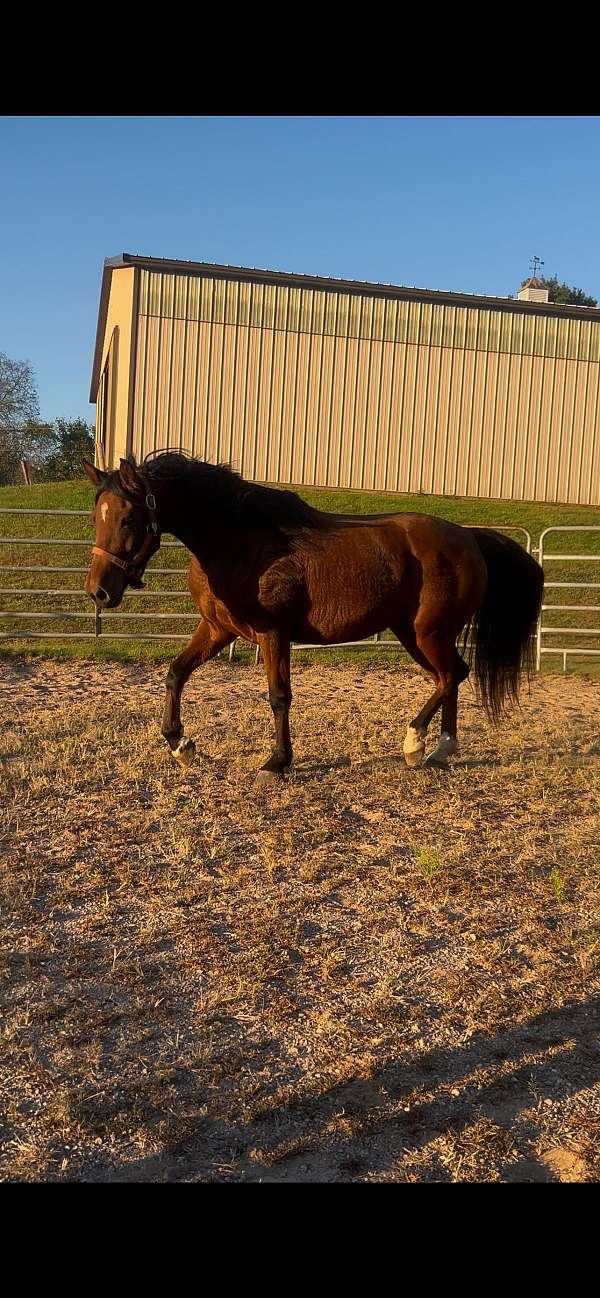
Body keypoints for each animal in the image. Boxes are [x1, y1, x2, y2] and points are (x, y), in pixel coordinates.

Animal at [83, 453, 544, 782]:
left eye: (128, 518)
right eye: (95, 516)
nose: (98, 591)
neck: (239, 539)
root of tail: (469, 537)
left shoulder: (273, 635)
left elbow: (278, 696)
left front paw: (276, 763)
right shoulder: (217, 630)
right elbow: (175, 674)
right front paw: (181, 746)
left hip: (429, 633)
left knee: (451, 676)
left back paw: (416, 743)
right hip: (415, 635)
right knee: (450, 677)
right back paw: (440, 750)